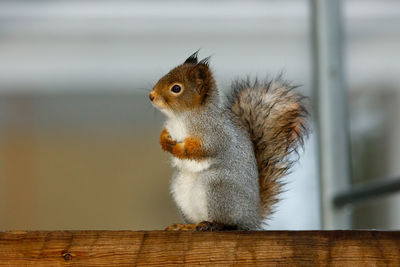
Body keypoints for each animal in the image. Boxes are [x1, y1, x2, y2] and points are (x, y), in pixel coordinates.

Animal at [148, 51, 308, 231]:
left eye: (176, 88)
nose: (151, 96)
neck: (180, 116)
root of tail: (252, 218)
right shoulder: (171, 128)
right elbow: (165, 136)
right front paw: (165, 142)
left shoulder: (216, 134)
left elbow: (203, 149)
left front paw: (178, 149)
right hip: (181, 190)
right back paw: (187, 226)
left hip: (218, 189)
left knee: (231, 224)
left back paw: (215, 224)